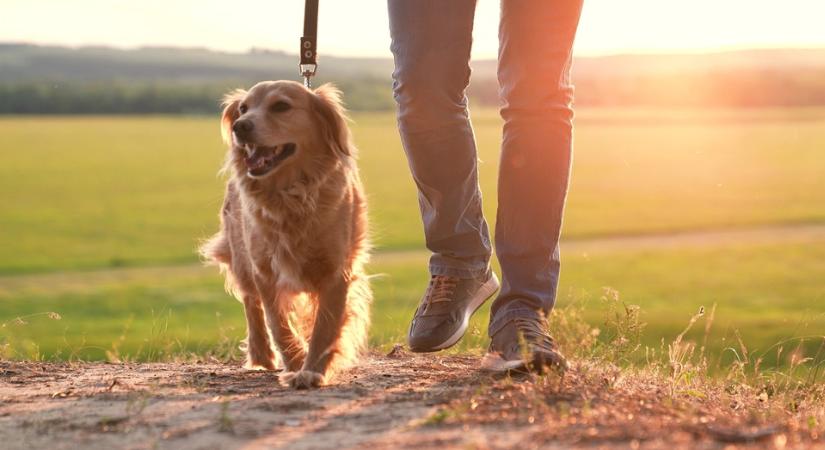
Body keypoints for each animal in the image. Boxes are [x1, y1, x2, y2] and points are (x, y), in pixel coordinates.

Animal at [200, 81, 370, 390]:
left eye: (281, 106)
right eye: (243, 108)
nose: (240, 127)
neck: (290, 195)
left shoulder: (336, 272)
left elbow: (324, 327)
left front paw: (312, 370)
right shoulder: (265, 271)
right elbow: (277, 323)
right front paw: (295, 361)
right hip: (242, 259)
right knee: (251, 306)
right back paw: (261, 355)